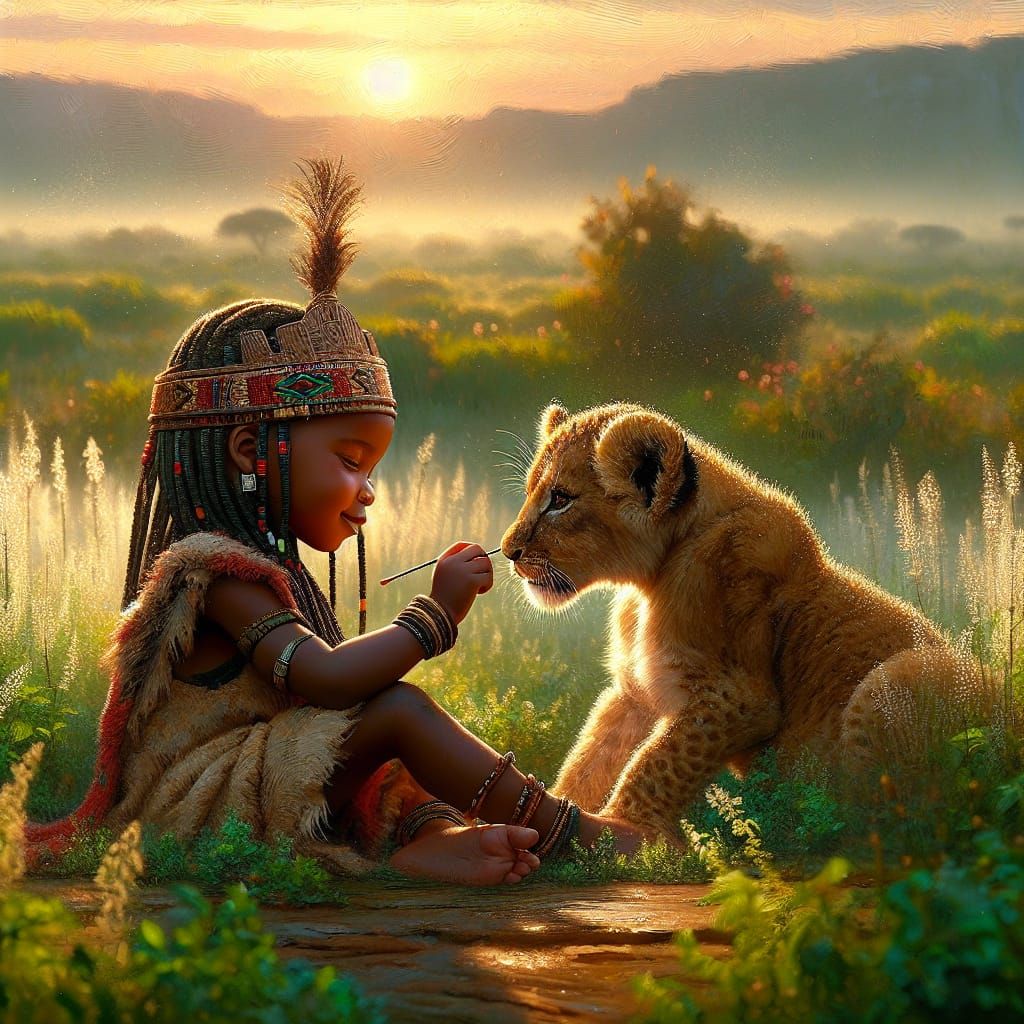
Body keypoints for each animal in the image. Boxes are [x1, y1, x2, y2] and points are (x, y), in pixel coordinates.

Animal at [500, 401, 990, 838]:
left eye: (561, 500)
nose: (508, 552)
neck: (650, 581)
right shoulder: (635, 690)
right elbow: (594, 755)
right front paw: (568, 808)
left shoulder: (740, 698)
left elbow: (658, 761)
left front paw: (625, 832)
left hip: (894, 680)